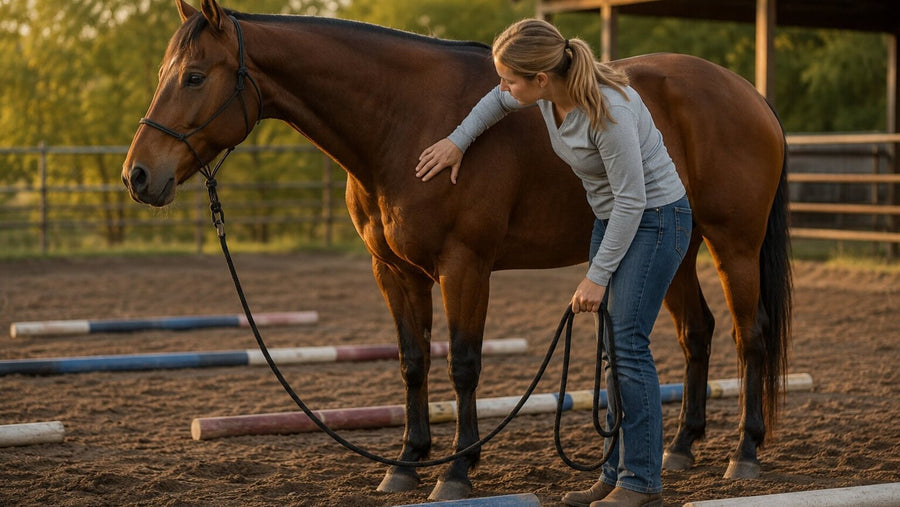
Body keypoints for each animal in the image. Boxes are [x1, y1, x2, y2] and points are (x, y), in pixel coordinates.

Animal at [122, 0, 791, 501]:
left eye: (194, 76)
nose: (137, 176)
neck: (405, 120)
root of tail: (750, 94)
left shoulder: (464, 267)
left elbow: (463, 364)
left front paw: (456, 470)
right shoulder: (394, 272)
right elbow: (414, 362)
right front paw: (405, 462)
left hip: (732, 244)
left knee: (748, 334)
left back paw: (744, 452)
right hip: (672, 249)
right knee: (697, 333)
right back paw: (680, 449)